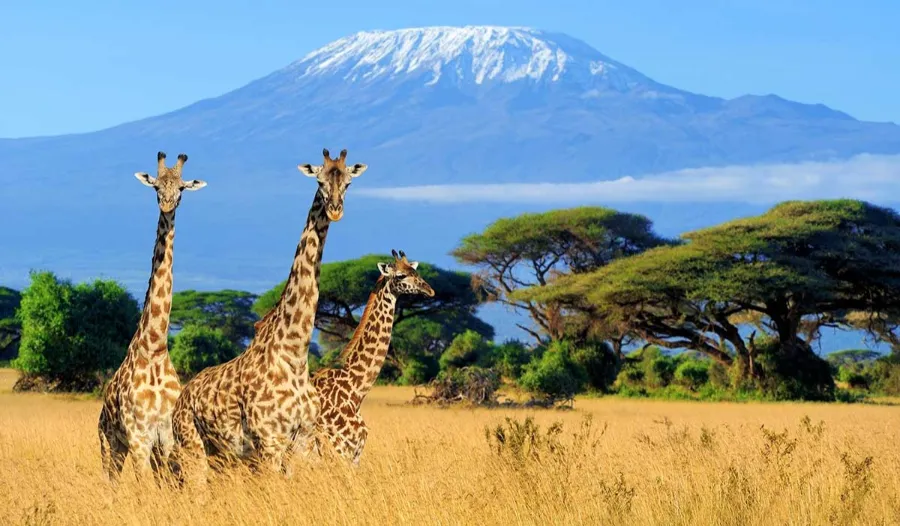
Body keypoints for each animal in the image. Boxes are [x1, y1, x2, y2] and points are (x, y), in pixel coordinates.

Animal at [98, 151, 207, 483]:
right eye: (157, 186)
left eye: (181, 188)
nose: (167, 204)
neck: (155, 347)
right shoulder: (139, 437)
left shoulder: (166, 436)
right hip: (109, 443)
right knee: (110, 482)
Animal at [171, 148, 366, 483]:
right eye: (319, 181)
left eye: (348, 182)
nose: (335, 210)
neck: (295, 353)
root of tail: (181, 399)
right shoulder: (270, 441)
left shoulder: (303, 440)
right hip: (192, 445)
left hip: (220, 454)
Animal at [302, 250, 434, 466]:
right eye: (401, 276)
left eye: (415, 271)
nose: (429, 290)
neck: (355, 390)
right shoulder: (342, 451)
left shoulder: (354, 454)